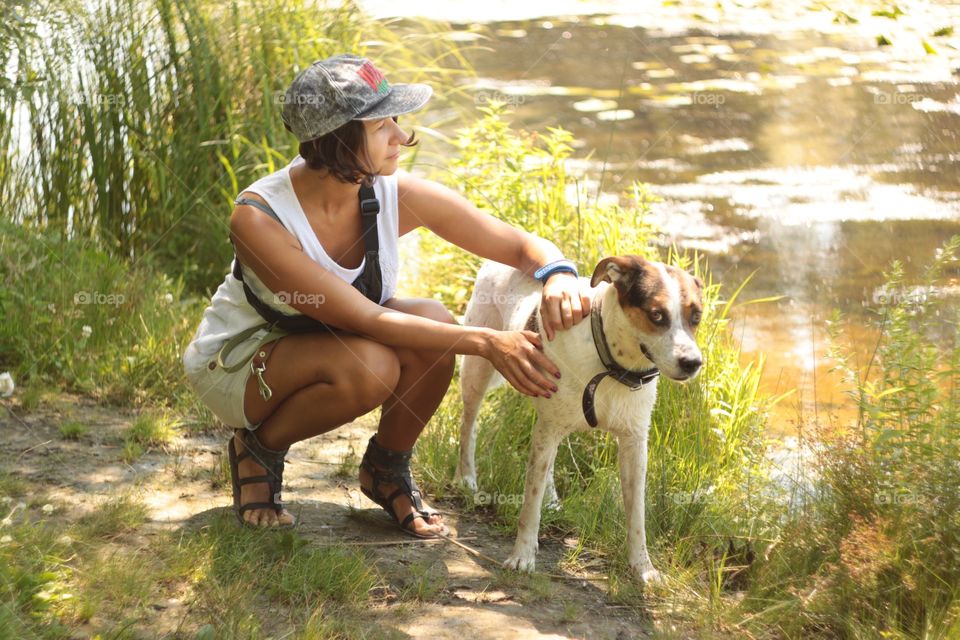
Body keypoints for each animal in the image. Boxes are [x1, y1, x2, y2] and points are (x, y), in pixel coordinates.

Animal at [454, 255, 700, 584]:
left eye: (696, 317)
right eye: (656, 315)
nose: (693, 363)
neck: (611, 367)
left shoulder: (634, 443)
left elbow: (637, 515)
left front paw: (643, 569)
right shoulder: (548, 429)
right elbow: (529, 505)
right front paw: (522, 556)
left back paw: (551, 499)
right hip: (478, 369)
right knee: (469, 423)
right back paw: (466, 477)